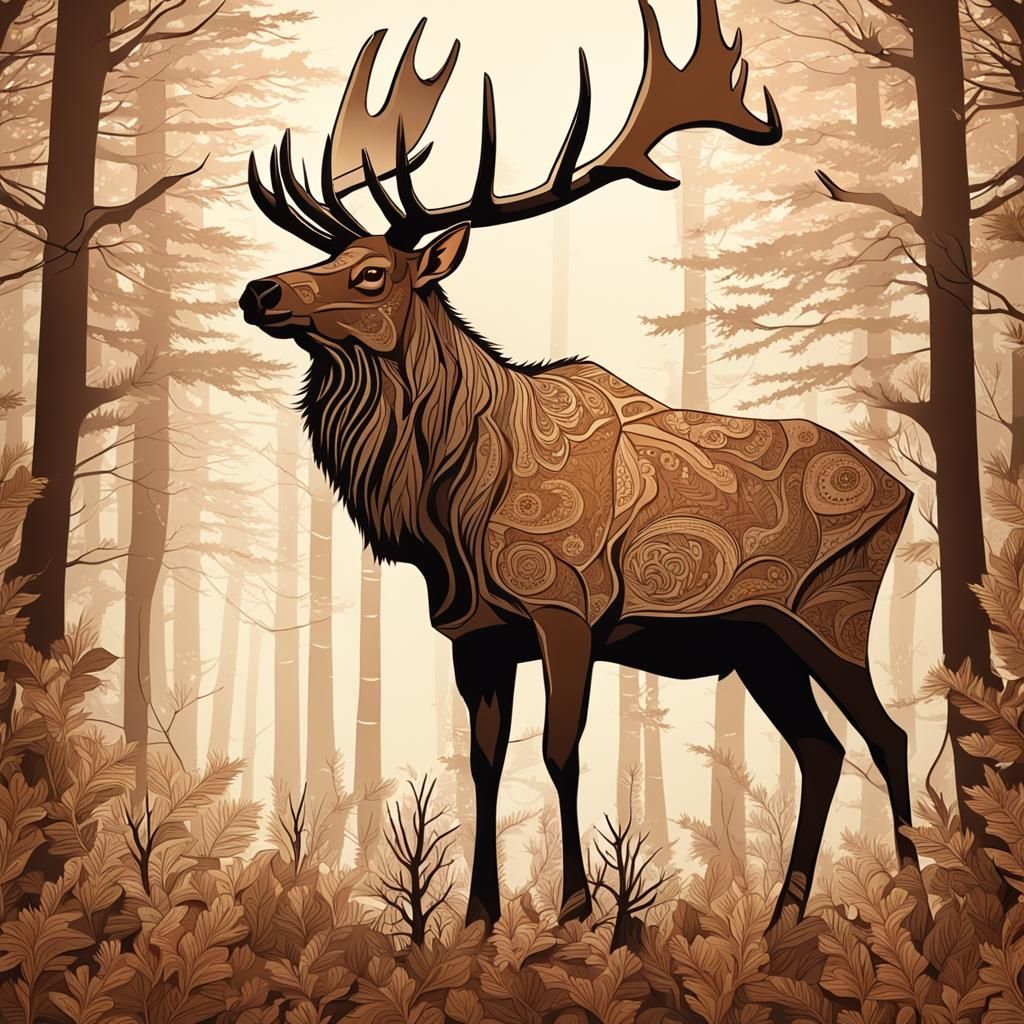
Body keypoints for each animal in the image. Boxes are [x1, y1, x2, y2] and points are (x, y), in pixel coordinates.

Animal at [240, 0, 917, 930]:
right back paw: (785, 916)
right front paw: (477, 916)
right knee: (821, 749)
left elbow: (562, 753)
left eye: (372, 272)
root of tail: (903, 489)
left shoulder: (567, 606)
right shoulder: (476, 630)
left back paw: (920, 901)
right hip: (759, 642)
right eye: (326, 258)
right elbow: (485, 762)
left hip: (833, 612)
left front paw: (580, 912)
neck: (450, 503)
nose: (259, 291)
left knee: (888, 735)